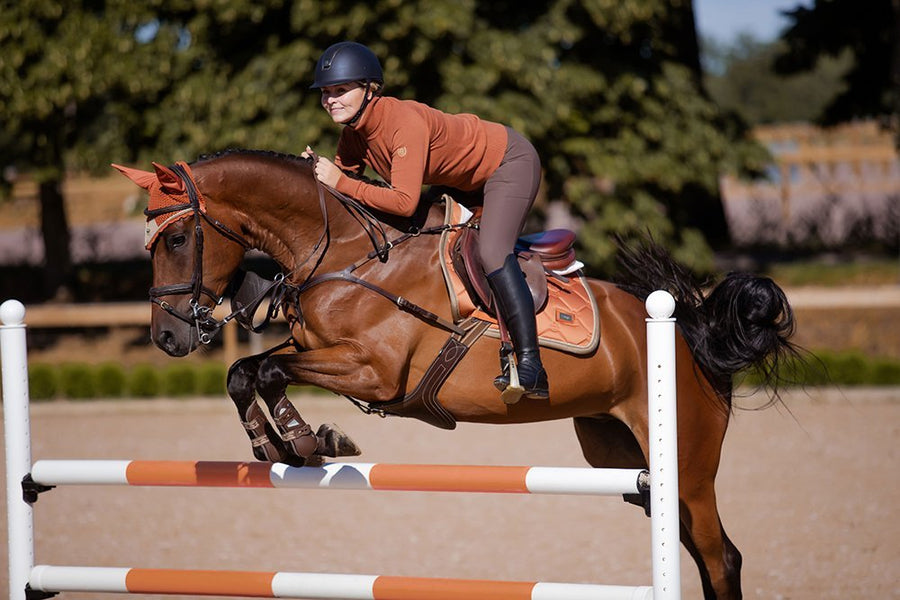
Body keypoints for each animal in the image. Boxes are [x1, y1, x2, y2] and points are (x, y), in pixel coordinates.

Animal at [112, 151, 796, 600]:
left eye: (176, 239)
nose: (167, 338)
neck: (346, 254)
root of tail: (690, 331)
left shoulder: (373, 372)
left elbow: (270, 369)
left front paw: (309, 439)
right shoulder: (315, 348)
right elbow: (244, 371)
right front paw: (279, 444)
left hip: (688, 465)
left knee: (721, 557)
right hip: (627, 461)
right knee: (697, 549)